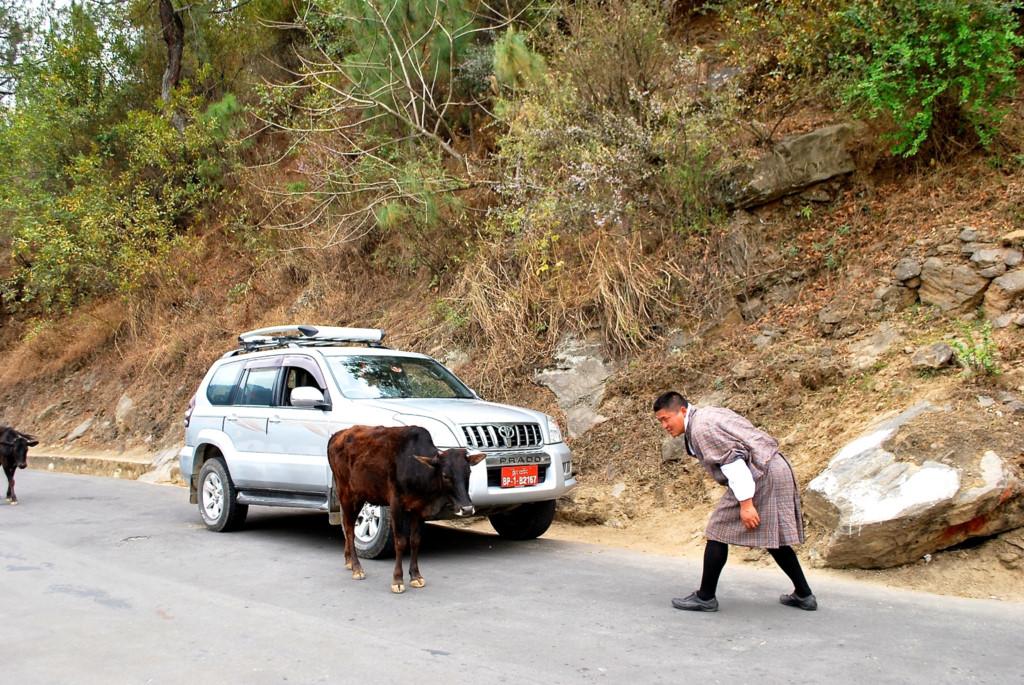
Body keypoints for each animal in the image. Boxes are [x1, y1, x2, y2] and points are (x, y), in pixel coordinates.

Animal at [329, 423, 485, 589]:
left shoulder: (419, 509)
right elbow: (400, 541)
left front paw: (416, 576)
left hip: (360, 495)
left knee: (347, 525)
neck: (417, 470)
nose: (467, 509)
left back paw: (349, 561)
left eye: (468, 472)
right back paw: (357, 568)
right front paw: (397, 579)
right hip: (347, 493)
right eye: (445, 475)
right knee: (349, 529)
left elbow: (415, 541)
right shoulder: (396, 506)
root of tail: (337, 435)